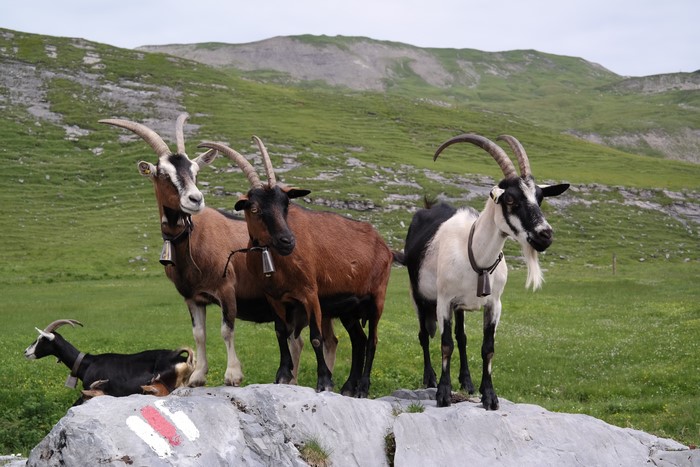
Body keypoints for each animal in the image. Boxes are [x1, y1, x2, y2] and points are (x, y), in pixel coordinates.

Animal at [99, 114, 351, 387]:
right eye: (163, 174)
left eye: (195, 171)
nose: (195, 199)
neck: (195, 241)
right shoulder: (193, 297)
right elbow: (199, 333)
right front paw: (198, 375)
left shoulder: (226, 289)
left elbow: (226, 329)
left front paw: (232, 374)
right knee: (306, 340)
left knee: (325, 340)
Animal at [198, 137, 393, 397]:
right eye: (254, 208)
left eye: (286, 204)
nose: (288, 241)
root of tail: (383, 244)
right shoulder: (274, 297)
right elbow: (281, 332)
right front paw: (283, 375)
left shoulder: (310, 294)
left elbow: (316, 338)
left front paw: (324, 381)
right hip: (349, 308)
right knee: (359, 340)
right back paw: (349, 387)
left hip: (376, 298)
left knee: (372, 340)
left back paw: (362, 387)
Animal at [394, 133, 569, 408]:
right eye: (510, 199)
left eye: (539, 197)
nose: (545, 235)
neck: (475, 254)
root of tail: (428, 207)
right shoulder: (444, 301)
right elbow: (445, 344)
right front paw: (443, 393)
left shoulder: (494, 304)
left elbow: (487, 348)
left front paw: (489, 396)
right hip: (419, 295)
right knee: (424, 335)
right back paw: (429, 378)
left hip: (460, 306)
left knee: (462, 337)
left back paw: (466, 381)